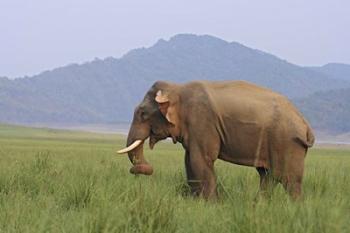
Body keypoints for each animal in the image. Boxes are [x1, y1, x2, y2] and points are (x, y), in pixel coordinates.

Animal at [117, 81, 314, 199]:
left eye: (143, 113)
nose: (136, 172)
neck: (178, 88)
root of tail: (305, 124)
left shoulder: (202, 122)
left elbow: (200, 160)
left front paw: (210, 204)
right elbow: (189, 160)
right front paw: (196, 201)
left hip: (287, 143)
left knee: (288, 179)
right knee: (267, 176)